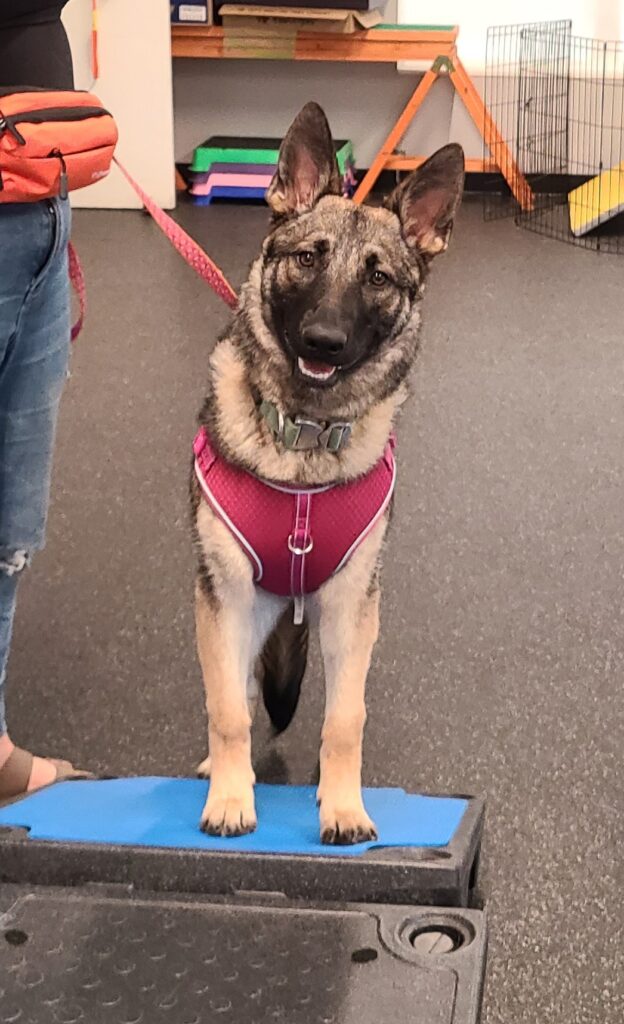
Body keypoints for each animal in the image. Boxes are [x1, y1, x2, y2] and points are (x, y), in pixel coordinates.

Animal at [189, 99, 463, 843]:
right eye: (309, 258)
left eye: (378, 278)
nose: (324, 342)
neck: (303, 445)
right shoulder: (225, 598)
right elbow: (228, 710)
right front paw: (230, 797)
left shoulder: (351, 609)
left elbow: (346, 719)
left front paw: (343, 805)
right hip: (243, 615)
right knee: (236, 691)